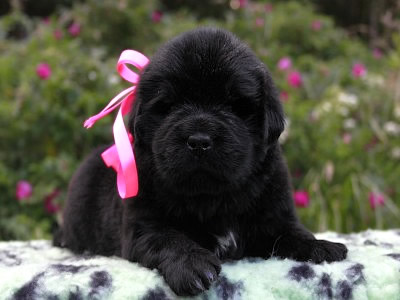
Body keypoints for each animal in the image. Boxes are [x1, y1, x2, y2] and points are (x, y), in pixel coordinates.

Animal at [54, 27, 348, 296]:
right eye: (169, 105)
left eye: (233, 105)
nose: (198, 141)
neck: (213, 196)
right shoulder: (142, 226)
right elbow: (169, 238)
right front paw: (191, 265)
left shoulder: (273, 213)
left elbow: (291, 233)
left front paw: (320, 246)